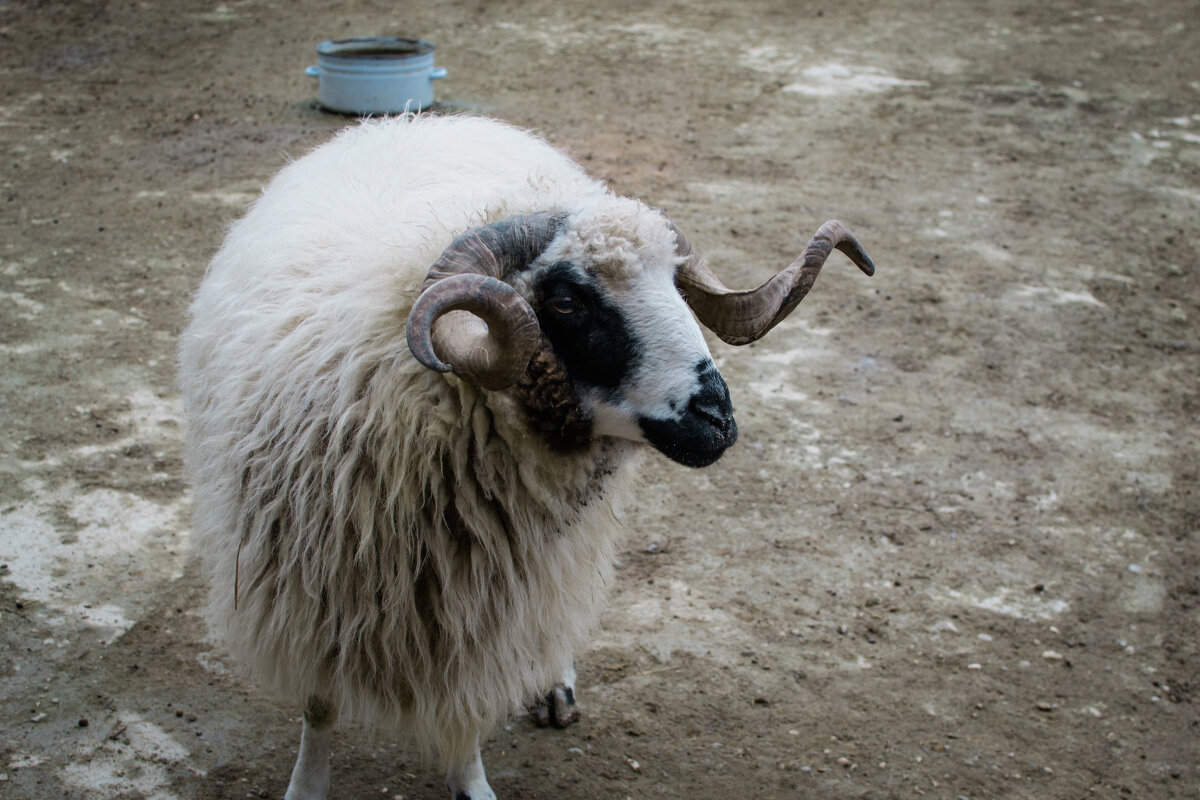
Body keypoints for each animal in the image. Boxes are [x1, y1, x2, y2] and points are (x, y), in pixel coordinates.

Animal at [177, 112, 873, 800]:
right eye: (565, 300)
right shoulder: (307, 591)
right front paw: (307, 785)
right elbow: (319, 706)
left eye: (677, 284)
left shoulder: (484, 611)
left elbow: (463, 714)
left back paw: (554, 683)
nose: (717, 421)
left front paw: (471, 780)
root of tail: (416, 117)